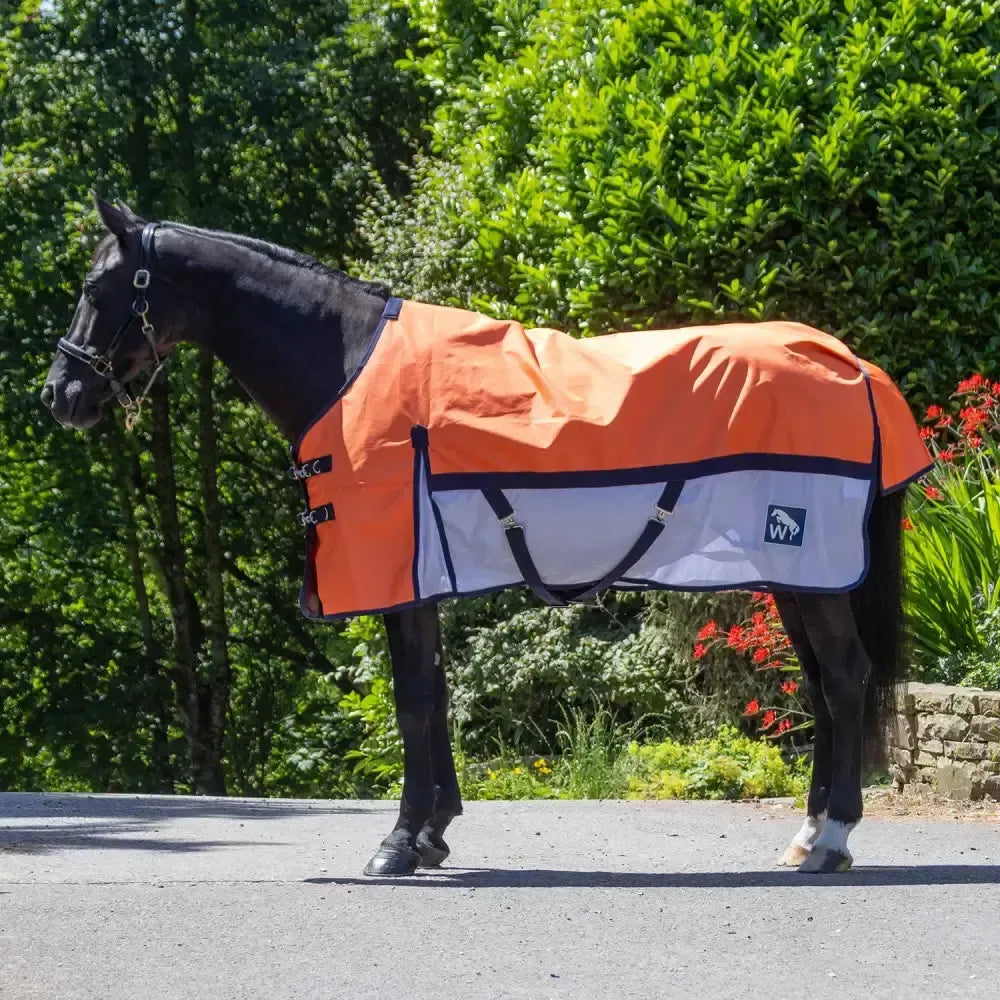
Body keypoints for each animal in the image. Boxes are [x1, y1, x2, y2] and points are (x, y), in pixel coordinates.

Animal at [42, 197, 929, 876]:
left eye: (97, 285)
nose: (59, 395)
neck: (345, 364)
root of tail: (851, 364)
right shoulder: (424, 576)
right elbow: (434, 696)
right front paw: (432, 834)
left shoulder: (400, 575)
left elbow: (412, 699)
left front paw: (397, 843)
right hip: (798, 576)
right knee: (821, 684)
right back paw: (809, 834)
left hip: (811, 567)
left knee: (844, 678)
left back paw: (832, 839)